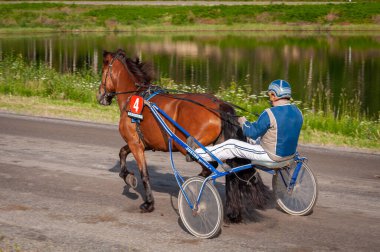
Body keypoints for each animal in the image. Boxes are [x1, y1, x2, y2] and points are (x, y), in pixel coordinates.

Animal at [96, 49, 272, 222]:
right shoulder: (141, 143)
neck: (135, 96)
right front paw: (127, 176)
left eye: (103, 72)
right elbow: (122, 152)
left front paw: (148, 203)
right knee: (230, 173)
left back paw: (193, 189)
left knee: (211, 168)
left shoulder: (135, 143)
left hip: (187, 147)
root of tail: (219, 105)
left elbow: (144, 173)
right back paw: (231, 211)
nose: (100, 95)